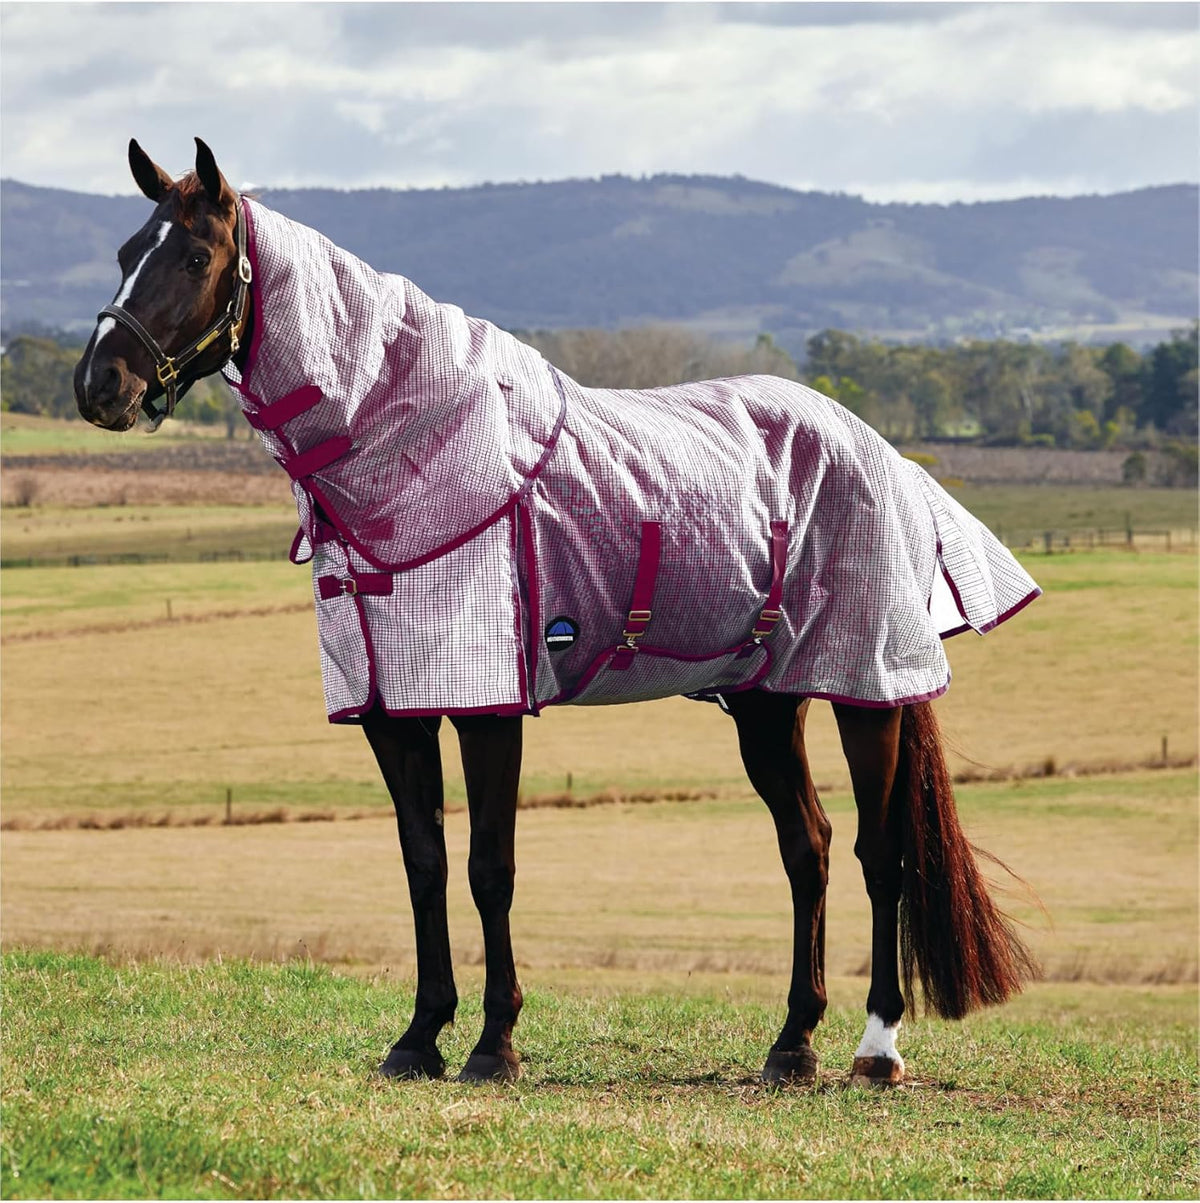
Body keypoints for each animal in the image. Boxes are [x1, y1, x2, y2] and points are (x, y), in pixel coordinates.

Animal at [74, 138, 1039, 1087]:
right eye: (124, 253)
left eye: (195, 257)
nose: (99, 385)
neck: (424, 452)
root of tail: (882, 453)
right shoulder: (392, 710)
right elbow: (424, 862)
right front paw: (419, 1035)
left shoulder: (489, 704)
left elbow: (488, 867)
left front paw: (493, 1044)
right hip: (767, 701)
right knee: (810, 845)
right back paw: (792, 1042)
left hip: (866, 688)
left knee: (881, 853)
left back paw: (877, 1048)